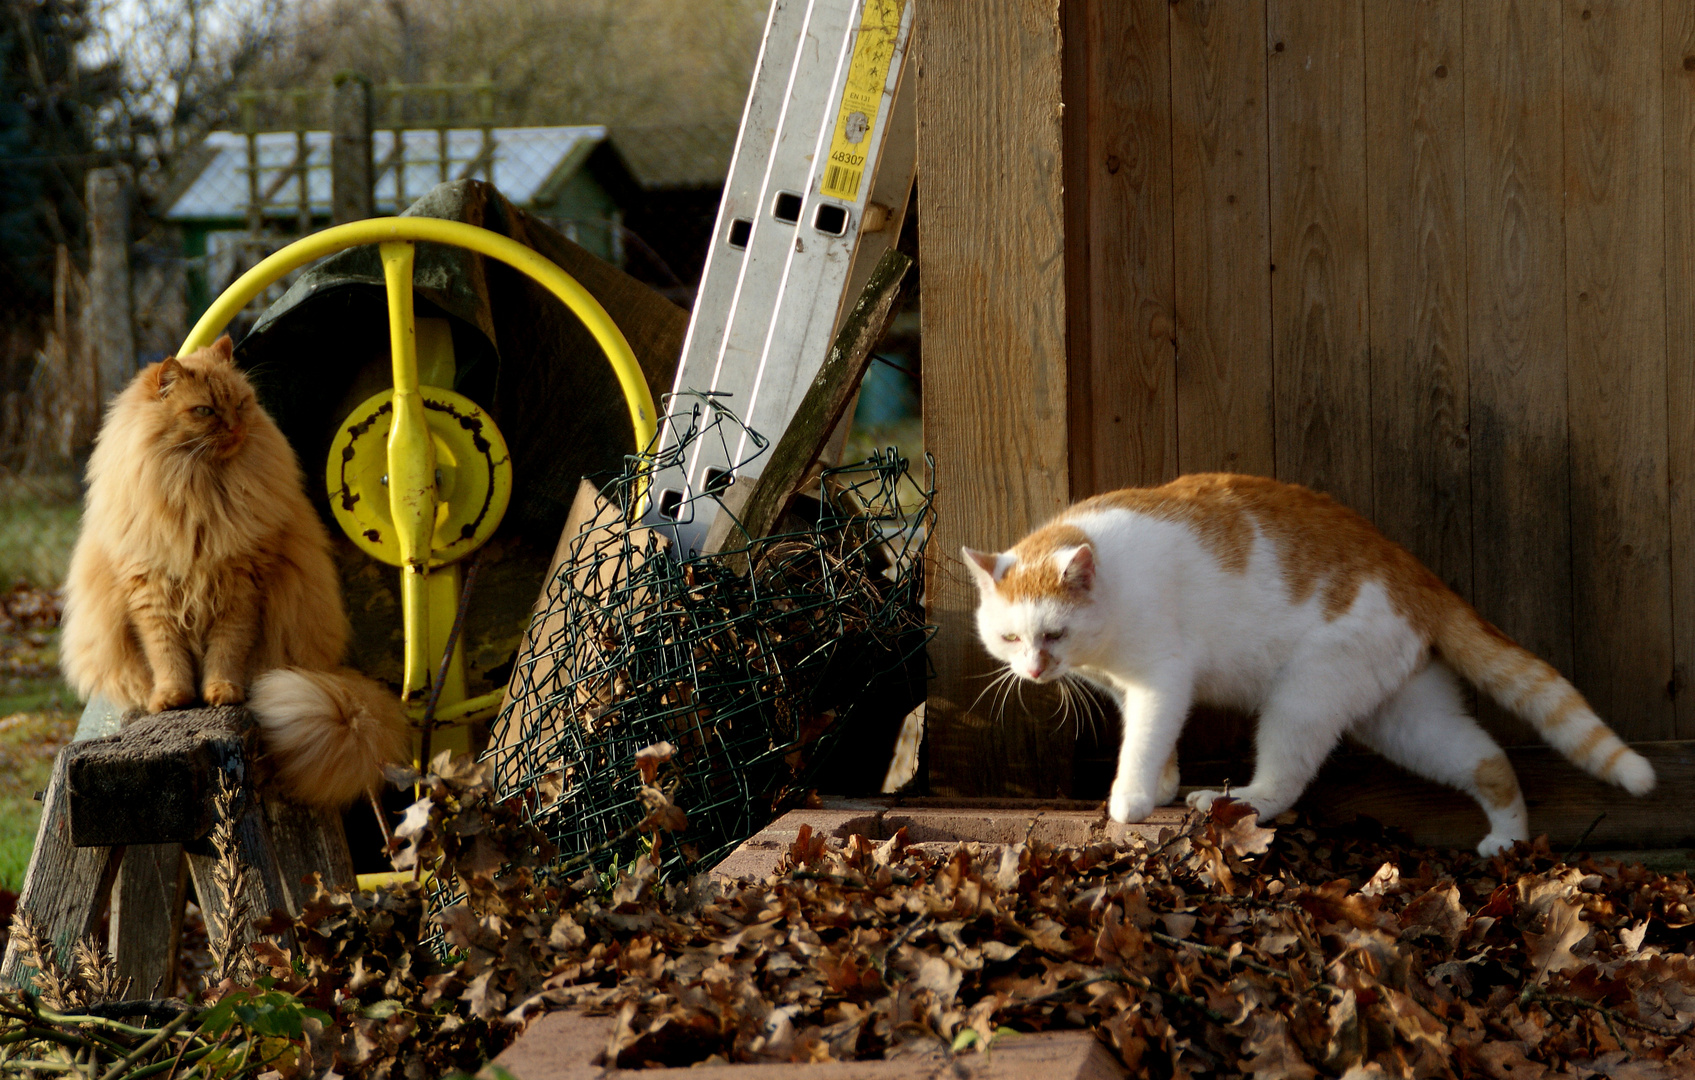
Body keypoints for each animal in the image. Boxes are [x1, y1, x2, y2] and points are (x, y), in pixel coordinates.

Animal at [60, 339, 410, 807]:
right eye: (205, 411)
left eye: (241, 405)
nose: (235, 427)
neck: (200, 490)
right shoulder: (150, 593)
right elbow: (166, 655)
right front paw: (172, 698)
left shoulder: (242, 587)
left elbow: (226, 651)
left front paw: (220, 693)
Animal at [976, 471, 1647, 851]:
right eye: (1010, 638)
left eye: (1053, 634)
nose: (1034, 670)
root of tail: (1412, 569)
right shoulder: (1128, 688)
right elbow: (1157, 745)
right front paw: (1161, 786)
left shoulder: (1161, 681)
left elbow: (1142, 742)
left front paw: (1133, 800)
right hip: (1403, 719)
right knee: (1489, 760)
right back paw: (1508, 840)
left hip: (1302, 697)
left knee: (1285, 783)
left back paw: (1233, 800)